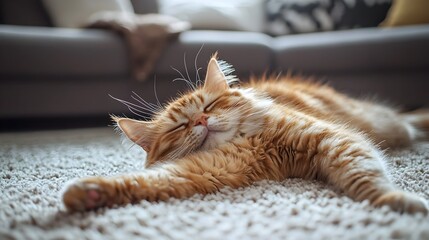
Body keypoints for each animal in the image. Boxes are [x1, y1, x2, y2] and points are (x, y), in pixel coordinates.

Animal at [61, 54, 426, 214]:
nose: (201, 120)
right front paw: (88, 194)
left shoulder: (334, 140)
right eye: (180, 127)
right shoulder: (201, 172)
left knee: (411, 121)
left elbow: (367, 180)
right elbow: (142, 183)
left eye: (210, 105)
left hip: (387, 125)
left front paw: (395, 203)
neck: (250, 145)